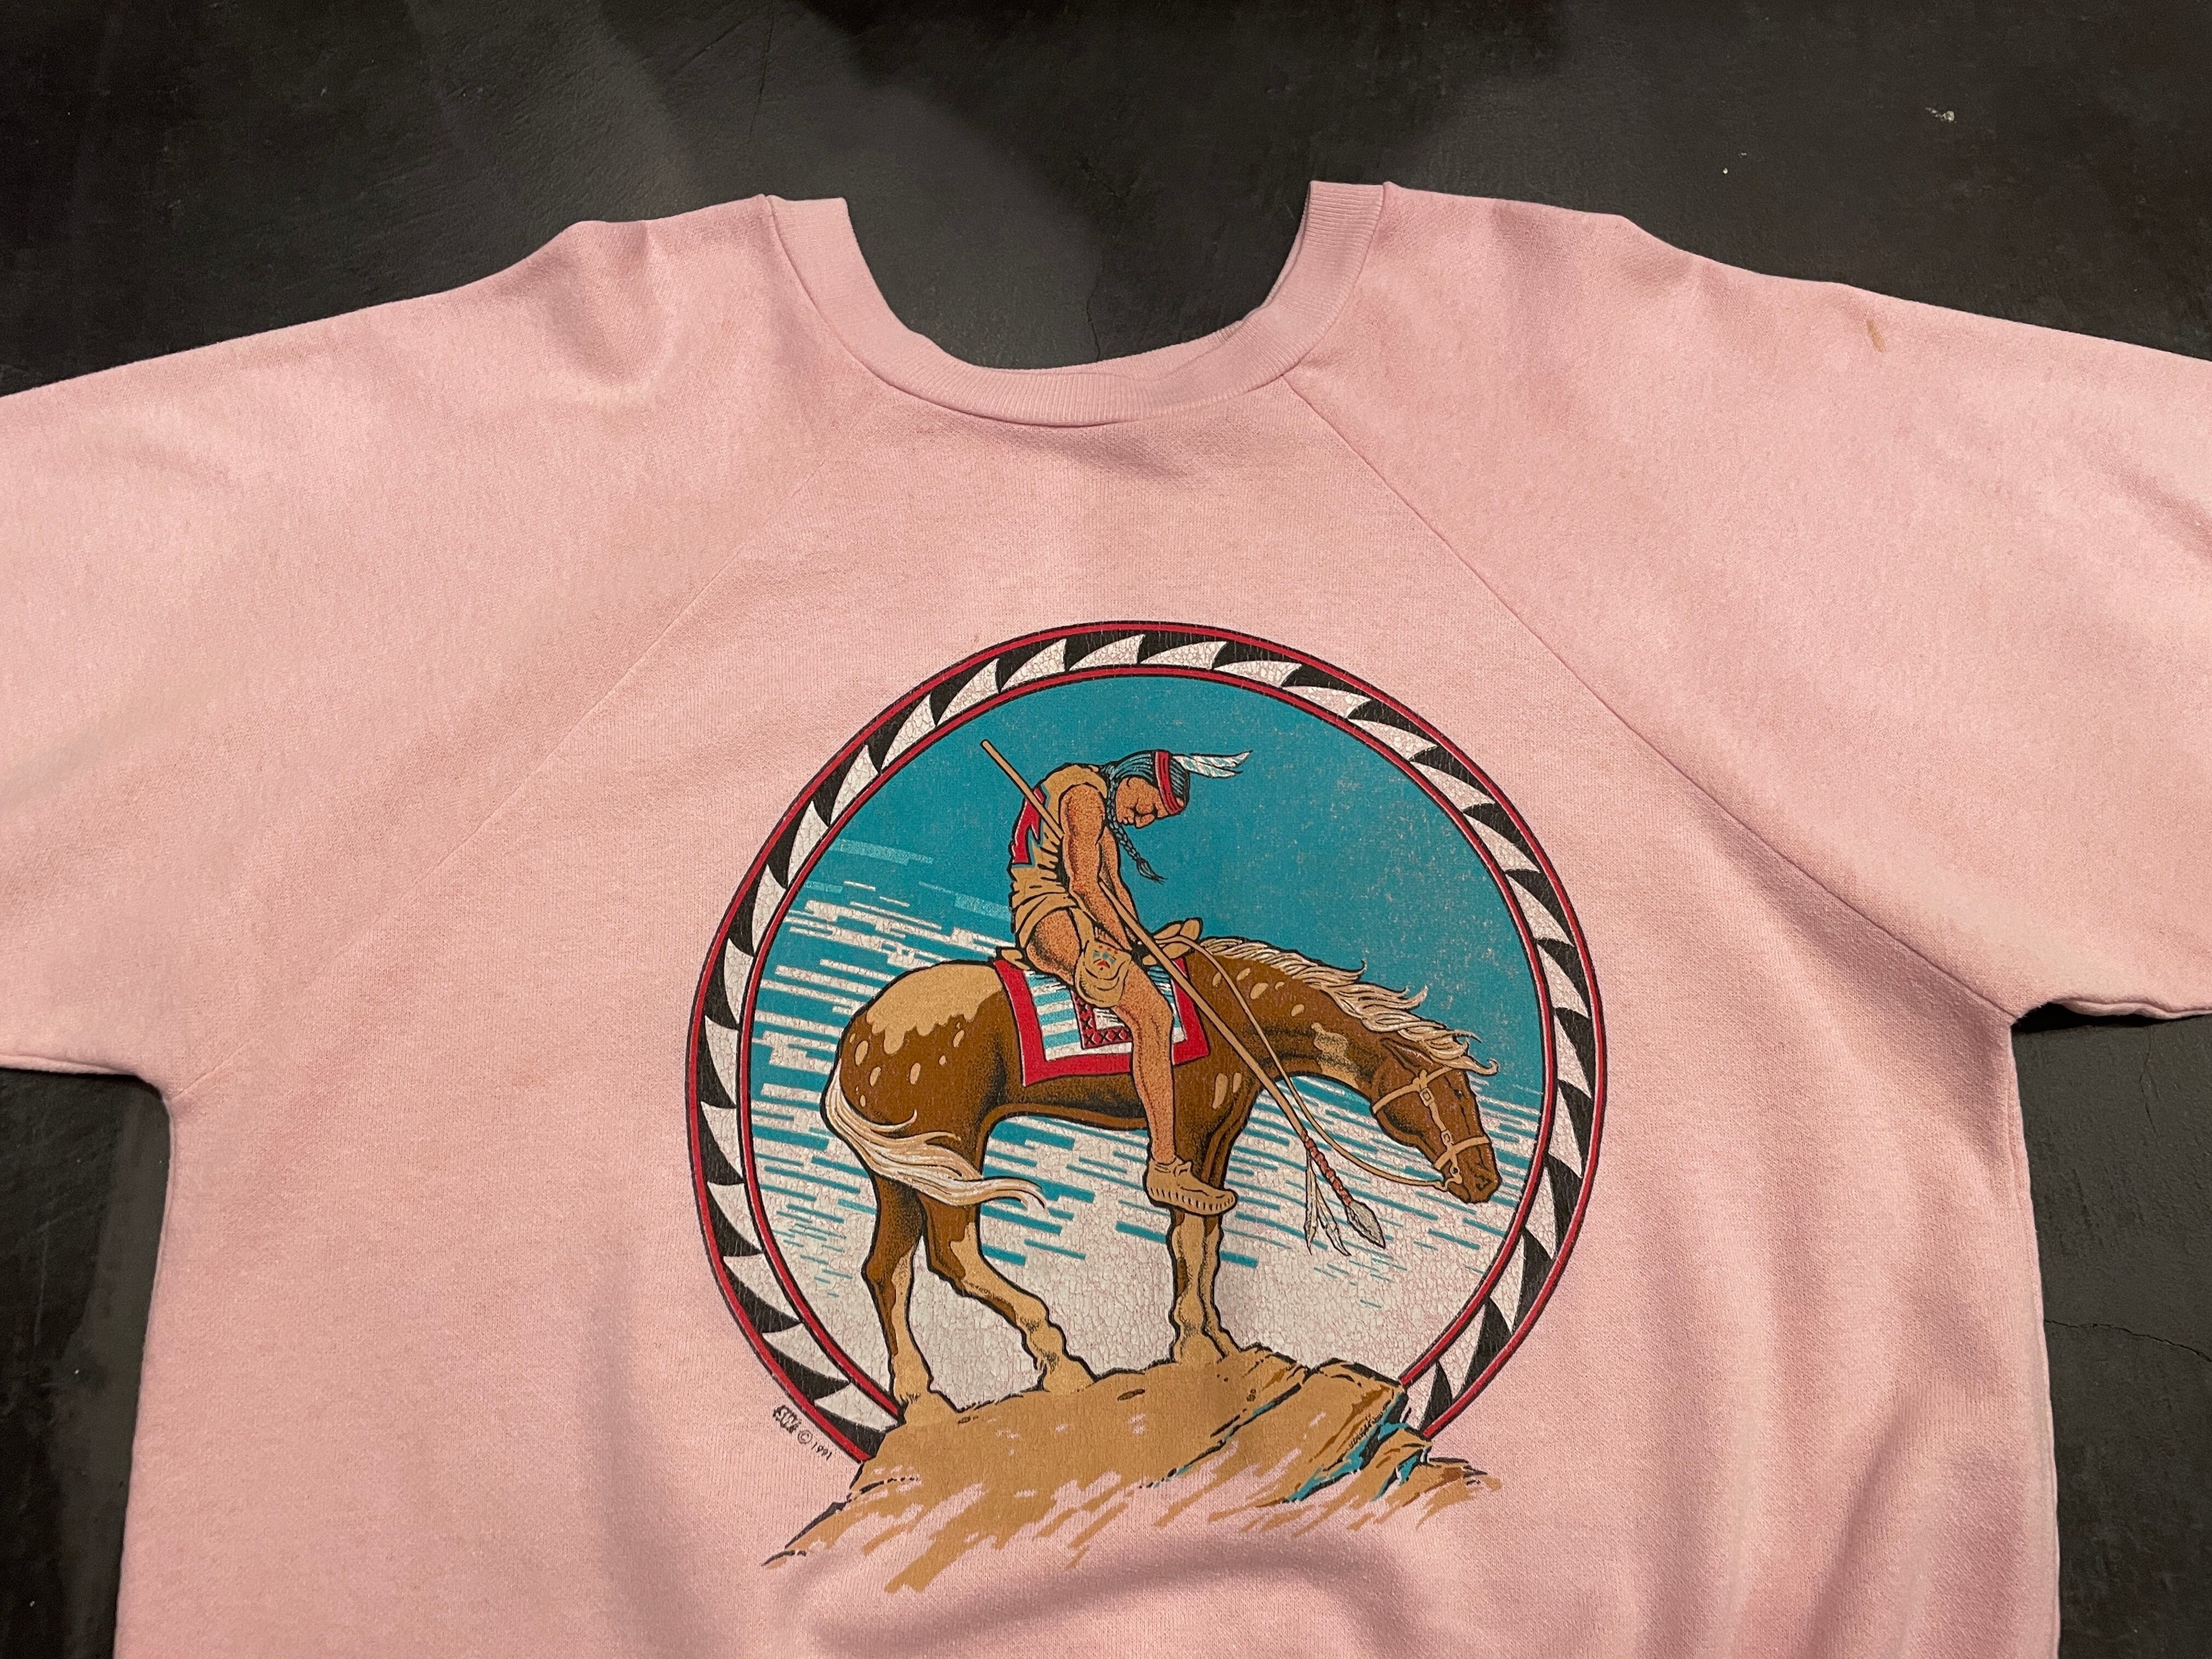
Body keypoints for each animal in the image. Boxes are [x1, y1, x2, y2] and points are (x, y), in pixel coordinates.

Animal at [819, 935, 1504, 1425]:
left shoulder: (1219, 1138)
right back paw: (1061, 1363)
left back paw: (922, 1403)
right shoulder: (1190, 1135)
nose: (1485, 1180)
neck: (1233, 1010)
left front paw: (1218, 1337)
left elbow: (1208, 1237)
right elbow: (1189, 1235)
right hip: (951, 1151)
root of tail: (858, 1033)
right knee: (954, 1255)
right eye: (1447, 1091)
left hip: (904, 1171)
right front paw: (1195, 1343)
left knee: (888, 1270)